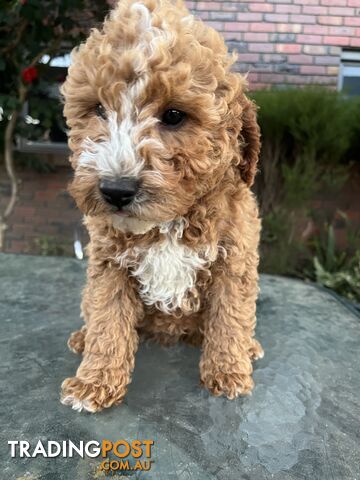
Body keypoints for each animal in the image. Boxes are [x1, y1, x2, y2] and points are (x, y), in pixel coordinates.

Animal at [60, 0, 262, 412]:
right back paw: (82, 338)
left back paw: (248, 348)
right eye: (98, 110)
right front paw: (93, 383)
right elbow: (107, 321)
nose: (115, 190)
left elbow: (230, 317)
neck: (170, 222)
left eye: (173, 115)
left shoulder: (234, 261)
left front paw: (228, 373)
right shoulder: (109, 265)